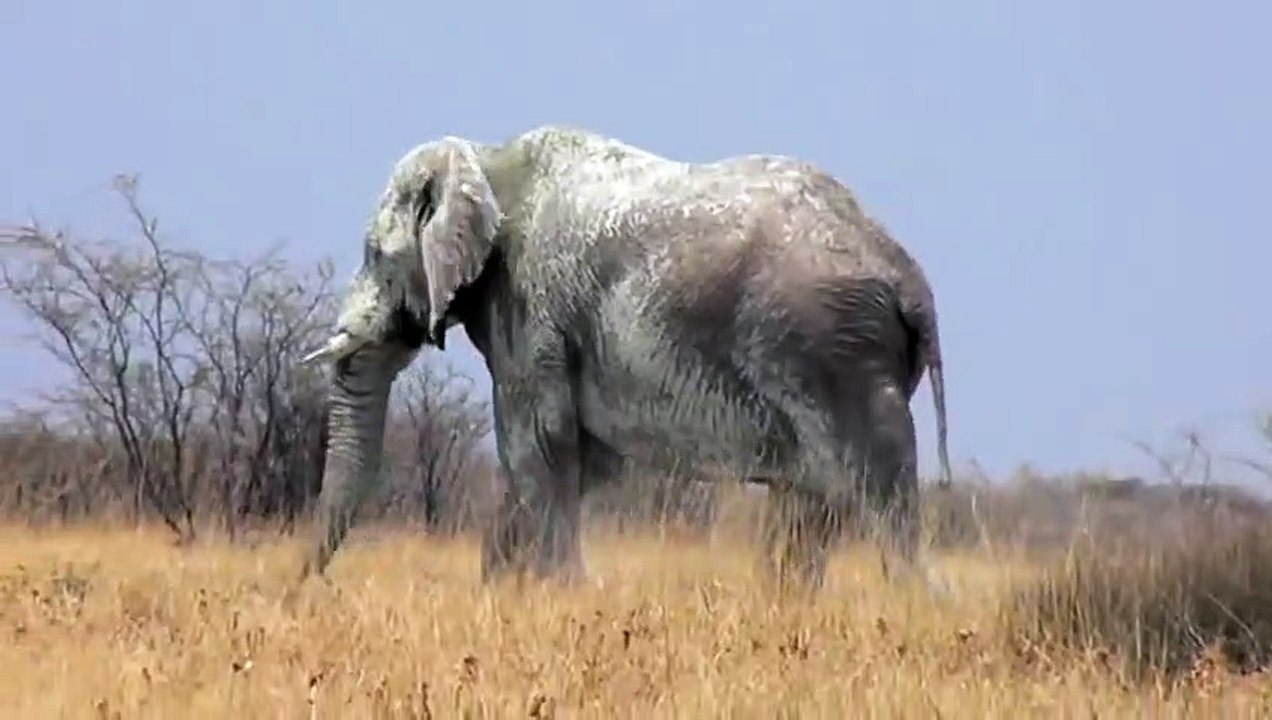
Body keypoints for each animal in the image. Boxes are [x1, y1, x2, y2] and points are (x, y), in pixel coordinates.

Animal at [296, 125, 953, 590]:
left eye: (377, 256)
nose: (307, 586)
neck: (488, 159)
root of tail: (909, 277)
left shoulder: (531, 307)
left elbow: (538, 444)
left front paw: (563, 594)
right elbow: (575, 459)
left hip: (833, 351)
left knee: (873, 484)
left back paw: (915, 603)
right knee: (813, 502)